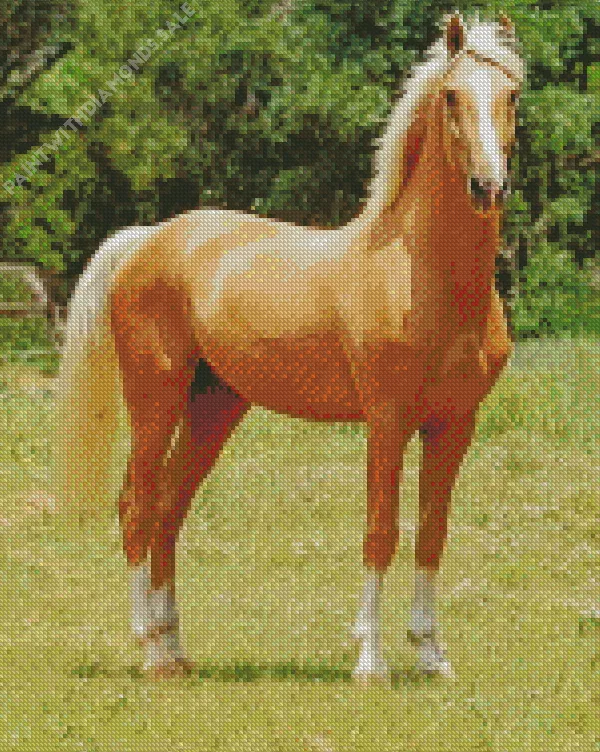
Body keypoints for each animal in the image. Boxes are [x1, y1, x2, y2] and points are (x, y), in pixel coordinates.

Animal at [57, 13, 525, 682]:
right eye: (451, 97)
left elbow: (431, 533)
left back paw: (175, 650)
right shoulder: (387, 421)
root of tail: (150, 238)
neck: (421, 274)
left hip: (215, 405)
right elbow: (381, 529)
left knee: (169, 510)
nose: (487, 187)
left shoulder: (455, 424)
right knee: (137, 505)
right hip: (156, 398)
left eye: (512, 96)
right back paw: (149, 649)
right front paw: (370, 661)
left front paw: (432, 656)